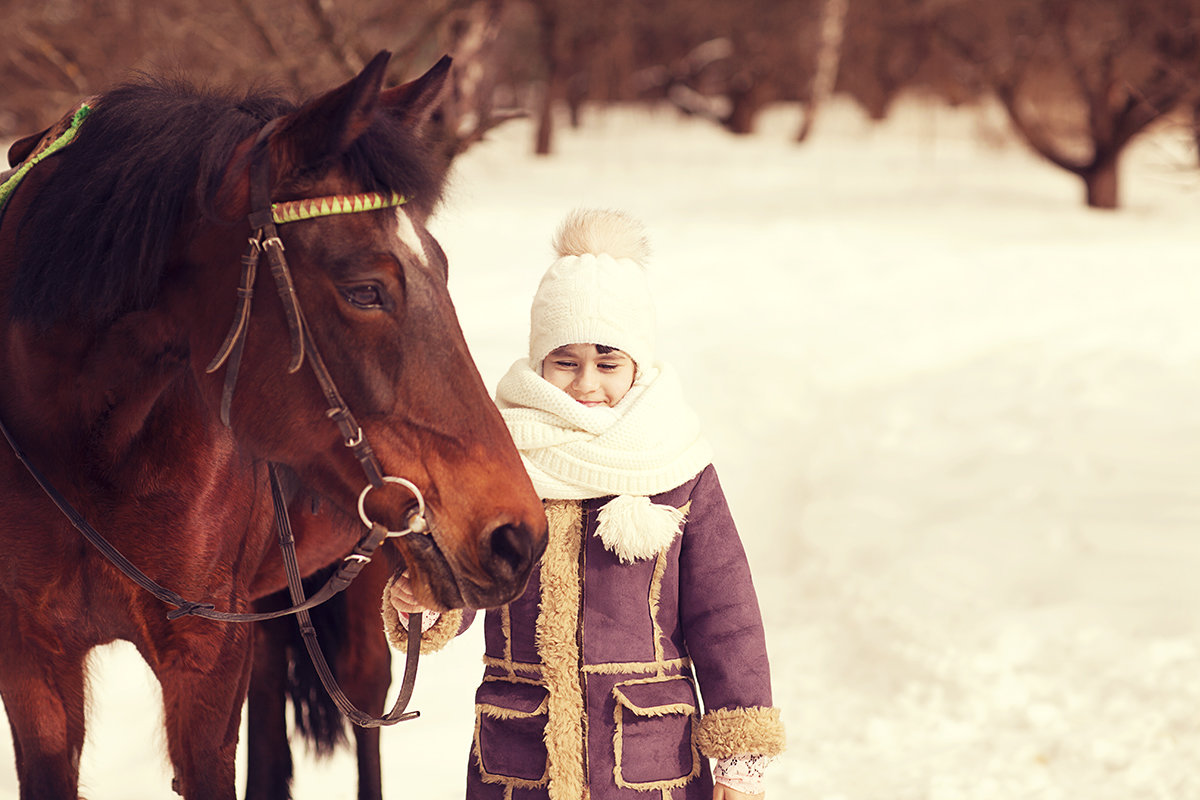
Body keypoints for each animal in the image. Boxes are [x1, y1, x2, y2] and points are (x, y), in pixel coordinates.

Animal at [0, 51, 544, 800]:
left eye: (443, 268)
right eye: (364, 290)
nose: (518, 535)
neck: (88, 448)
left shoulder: (203, 661)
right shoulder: (33, 660)